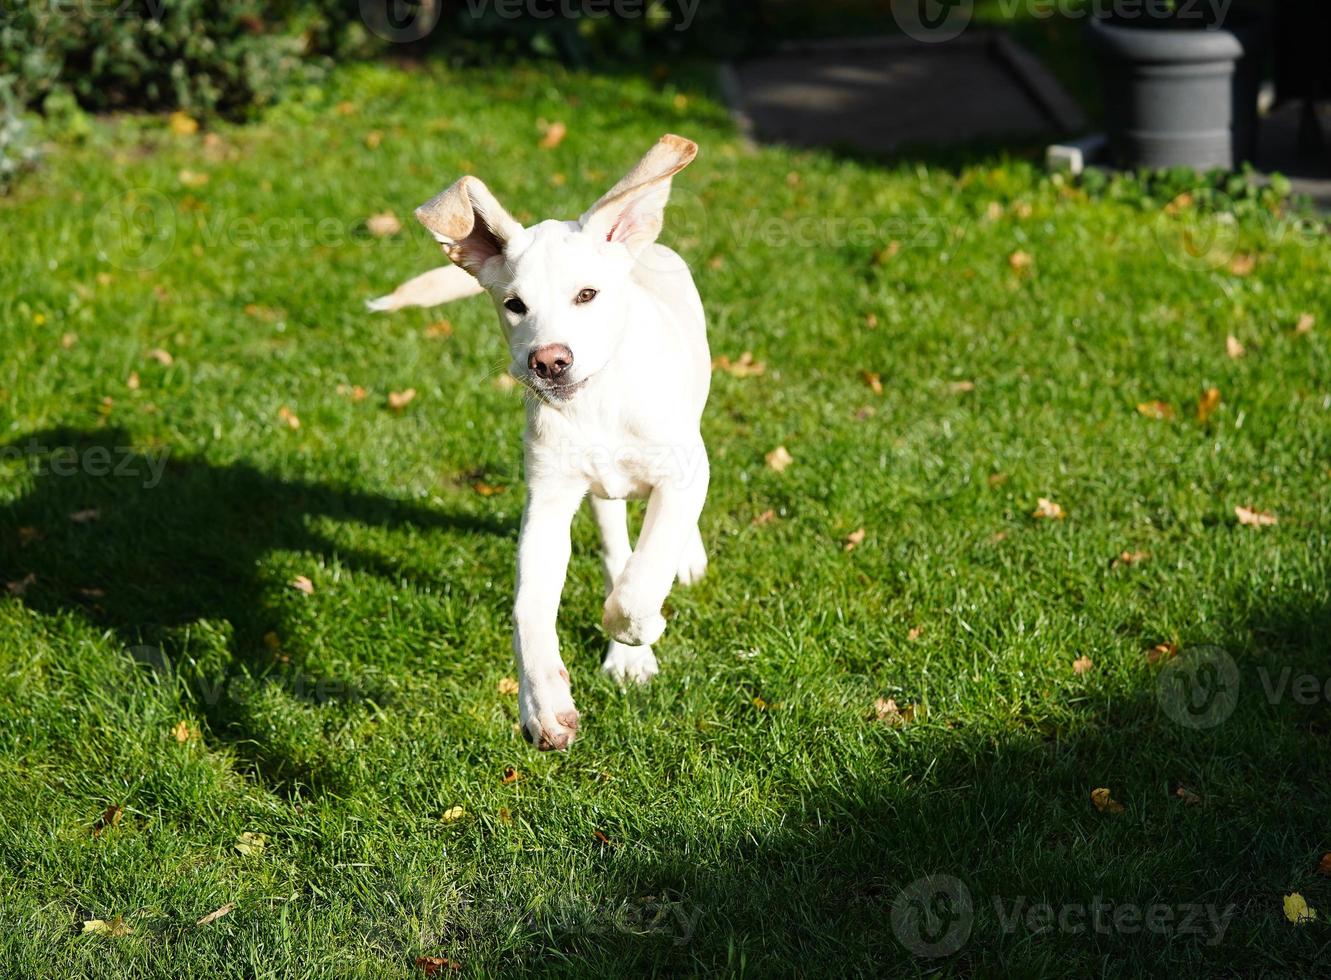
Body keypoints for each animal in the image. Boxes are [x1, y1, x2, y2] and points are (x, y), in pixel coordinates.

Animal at [370, 135, 713, 750]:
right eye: (514, 305)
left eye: (588, 295)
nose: (549, 362)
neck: (598, 402)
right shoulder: (550, 496)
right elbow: (530, 606)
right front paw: (544, 704)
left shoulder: (682, 470)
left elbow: (642, 580)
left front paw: (642, 624)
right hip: (597, 490)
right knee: (613, 543)